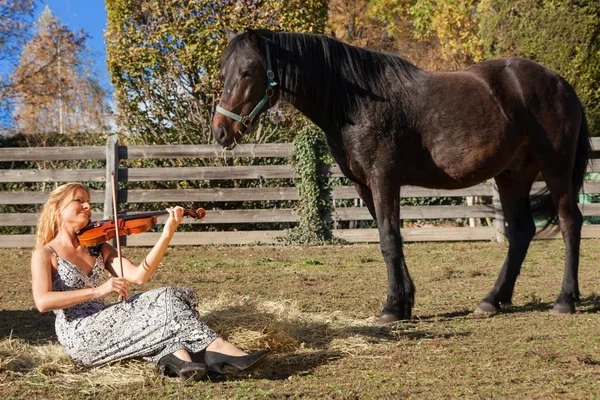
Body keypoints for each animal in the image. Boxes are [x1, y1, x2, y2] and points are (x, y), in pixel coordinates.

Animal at [212, 28, 592, 322]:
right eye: (223, 73)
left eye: (248, 72)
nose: (220, 131)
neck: (355, 102)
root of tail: (562, 84)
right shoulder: (363, 184)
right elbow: (388, 237)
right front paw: (405, 301)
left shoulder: (383, 178)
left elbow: (389, 239)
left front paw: (393, 307)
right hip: (512, 175)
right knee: (522, 232)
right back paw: (492, 300)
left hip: (555, 169)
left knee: (570, 222)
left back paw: (565, 300)